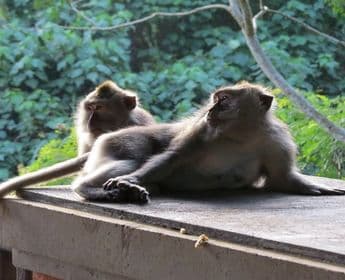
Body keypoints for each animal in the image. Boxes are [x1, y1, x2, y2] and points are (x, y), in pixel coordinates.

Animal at [70, 81, 344, 203]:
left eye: (224, 100)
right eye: (217, 98)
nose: (211, 109)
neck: (241, 134)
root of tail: (102, 137)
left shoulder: (276, 142)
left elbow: (281, 179)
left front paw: (316, 188)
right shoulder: (201, 130)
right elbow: (171, 158)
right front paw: (131, 179)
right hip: (118, 142)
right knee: (130, 160)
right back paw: (95, 189)